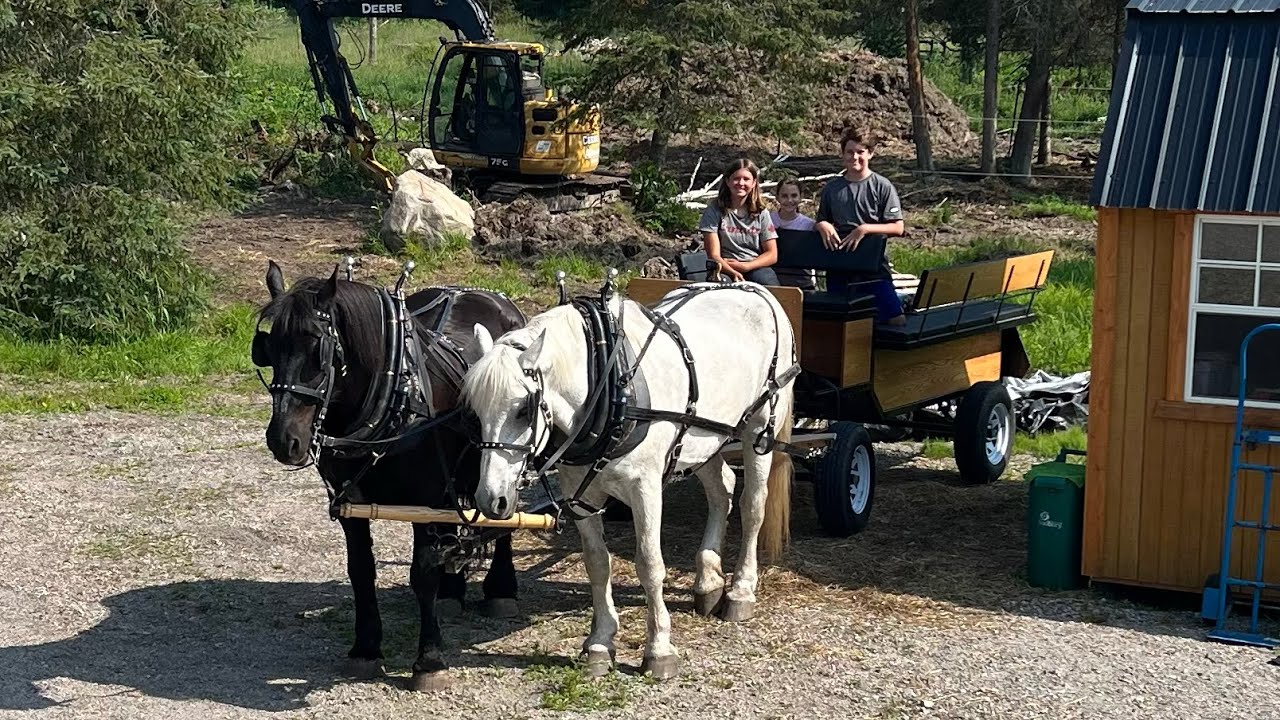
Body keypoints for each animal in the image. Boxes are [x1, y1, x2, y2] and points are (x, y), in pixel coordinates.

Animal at [253, 260, 526, 692]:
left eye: (318, 349)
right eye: (268, 348)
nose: (284, 439)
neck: (396, 396)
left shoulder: (427, 503)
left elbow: (423, 574)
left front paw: (430, 660)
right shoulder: (351, 503)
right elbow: (361, 571)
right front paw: (365, 649)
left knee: (503, 520)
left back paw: (501, 589)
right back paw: (453, 592)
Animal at [461, 278, 797, 680]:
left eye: (523, 409)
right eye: (475, 412)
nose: (489, 498)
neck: (608, 387)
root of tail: (752, 288)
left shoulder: (645, 489)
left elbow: (650, 565)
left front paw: (659, 649)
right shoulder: (581, 494)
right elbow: (597, 563)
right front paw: (600, 642)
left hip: (759, 428)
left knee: (752, 506)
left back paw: (741, 591)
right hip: (703, 437)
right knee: (723, 491)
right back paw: (709, 581)